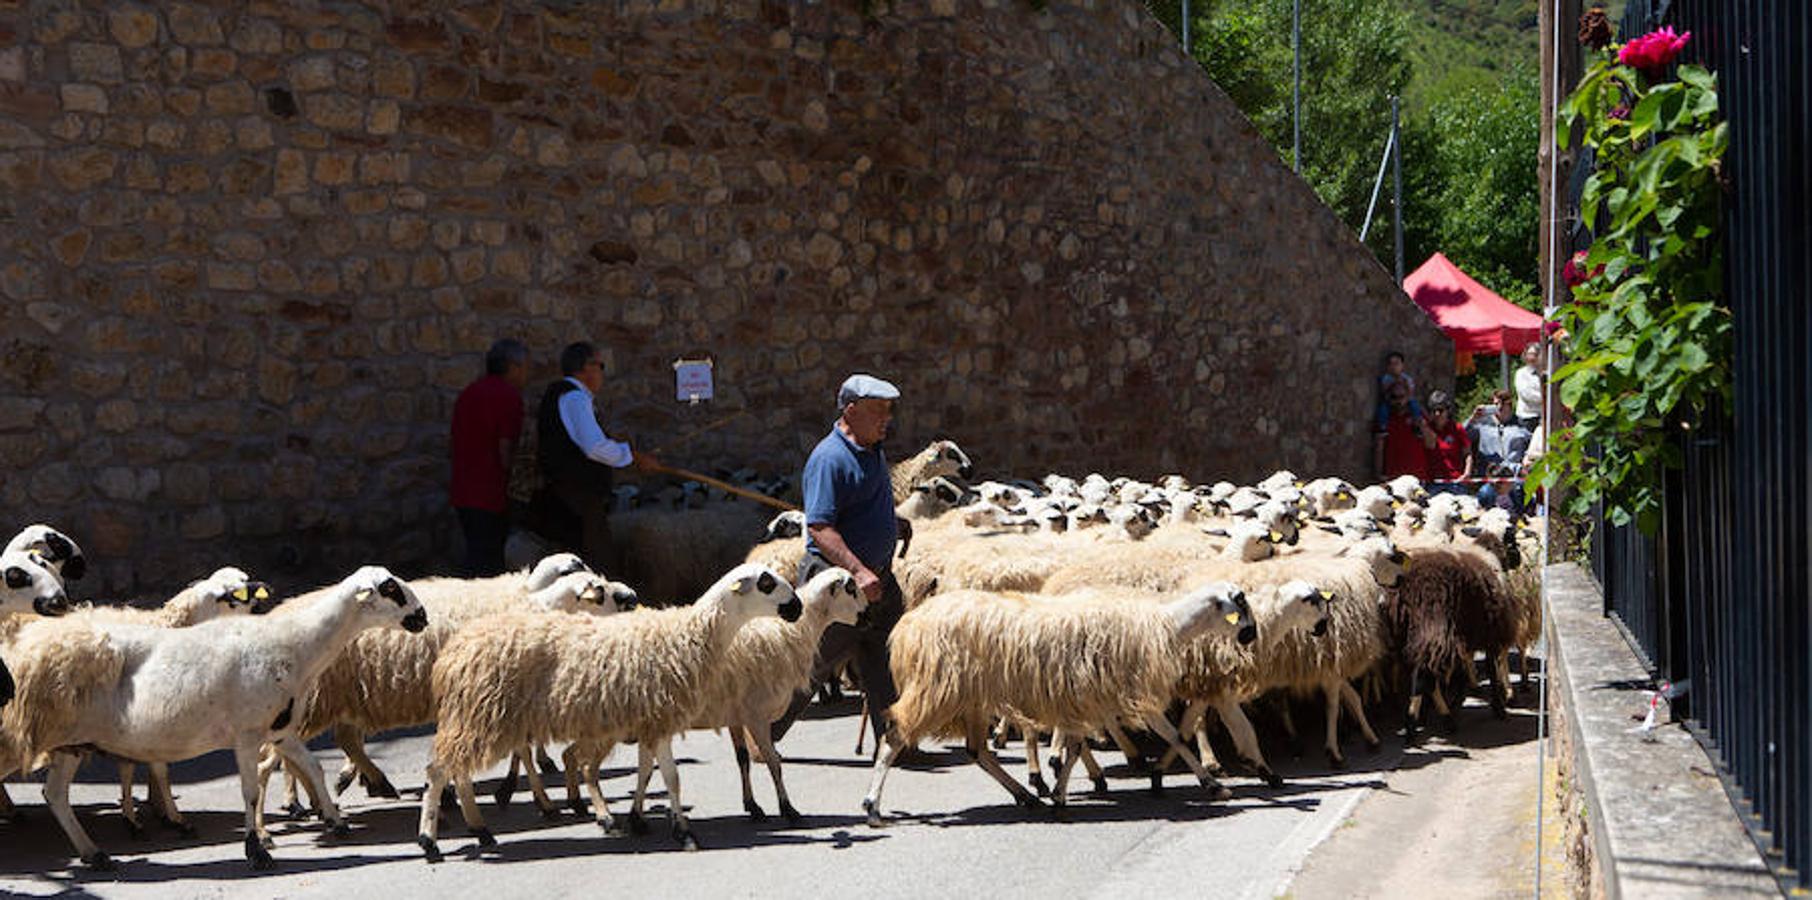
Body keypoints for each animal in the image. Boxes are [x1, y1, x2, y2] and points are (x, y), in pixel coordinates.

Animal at [4, 564, 427, 865]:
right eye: (390, 588)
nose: (422, 616)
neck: (295, 643)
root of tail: (28, 647)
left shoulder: (279, 730)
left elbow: (314, 767)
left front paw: (337, 822)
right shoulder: (248, 733)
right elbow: (250, 791)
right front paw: (256, 850)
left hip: (69, 743)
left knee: (55, 794)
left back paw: (93, 854)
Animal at [420, 561, 804, 854]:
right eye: (766, 583)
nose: (797, 607)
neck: (688, 637)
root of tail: (453, 654)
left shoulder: (652, 721)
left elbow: (651, 773)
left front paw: (645, 821)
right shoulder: (660, 720)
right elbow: (672, 778)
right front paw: (685, 833)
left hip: (477, 717)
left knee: (456, 771)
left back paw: (480, 831)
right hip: (478, 715)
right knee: (440, 771)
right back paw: (430, 841)